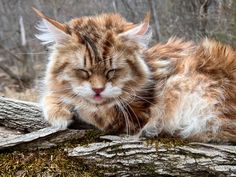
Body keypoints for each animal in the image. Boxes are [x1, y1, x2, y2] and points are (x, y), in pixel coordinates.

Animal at [33, 8, 236, 143]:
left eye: (112, 71)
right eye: (84, 71)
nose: (98, 90)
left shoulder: (131, 114)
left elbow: (89, 109)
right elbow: (52, 96)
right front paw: (59, 112)